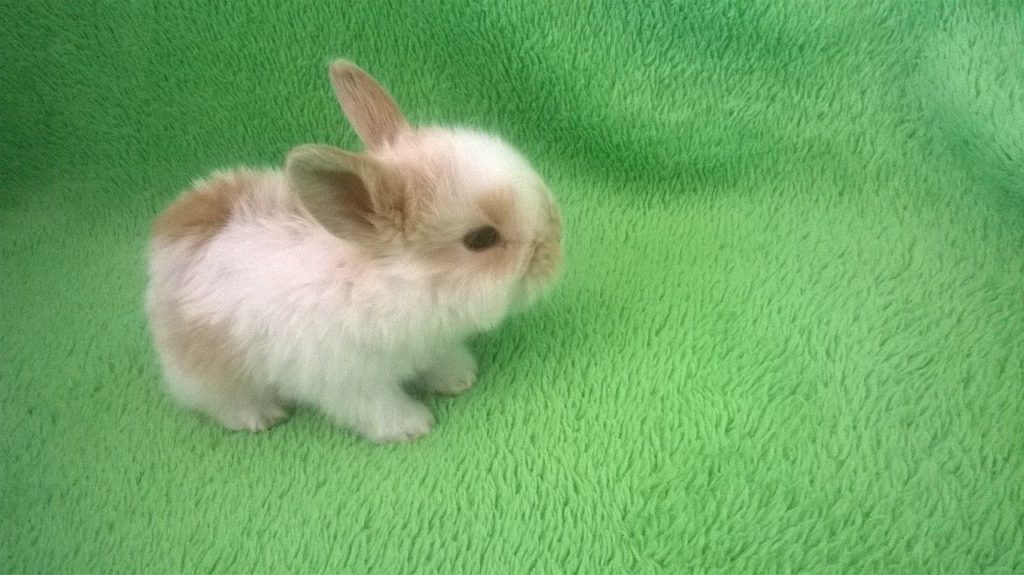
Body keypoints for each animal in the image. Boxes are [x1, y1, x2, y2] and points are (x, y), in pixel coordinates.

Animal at [145, 60, 562, 443]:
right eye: (481, 239)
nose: (554, 249)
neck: (396, 282)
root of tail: (167, 228)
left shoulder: (430, 345)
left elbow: (438, 361)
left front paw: (460, 378)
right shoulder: (346, 380)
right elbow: (375, 407)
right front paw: (413, 425)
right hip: (209, 367)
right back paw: (259, 416)